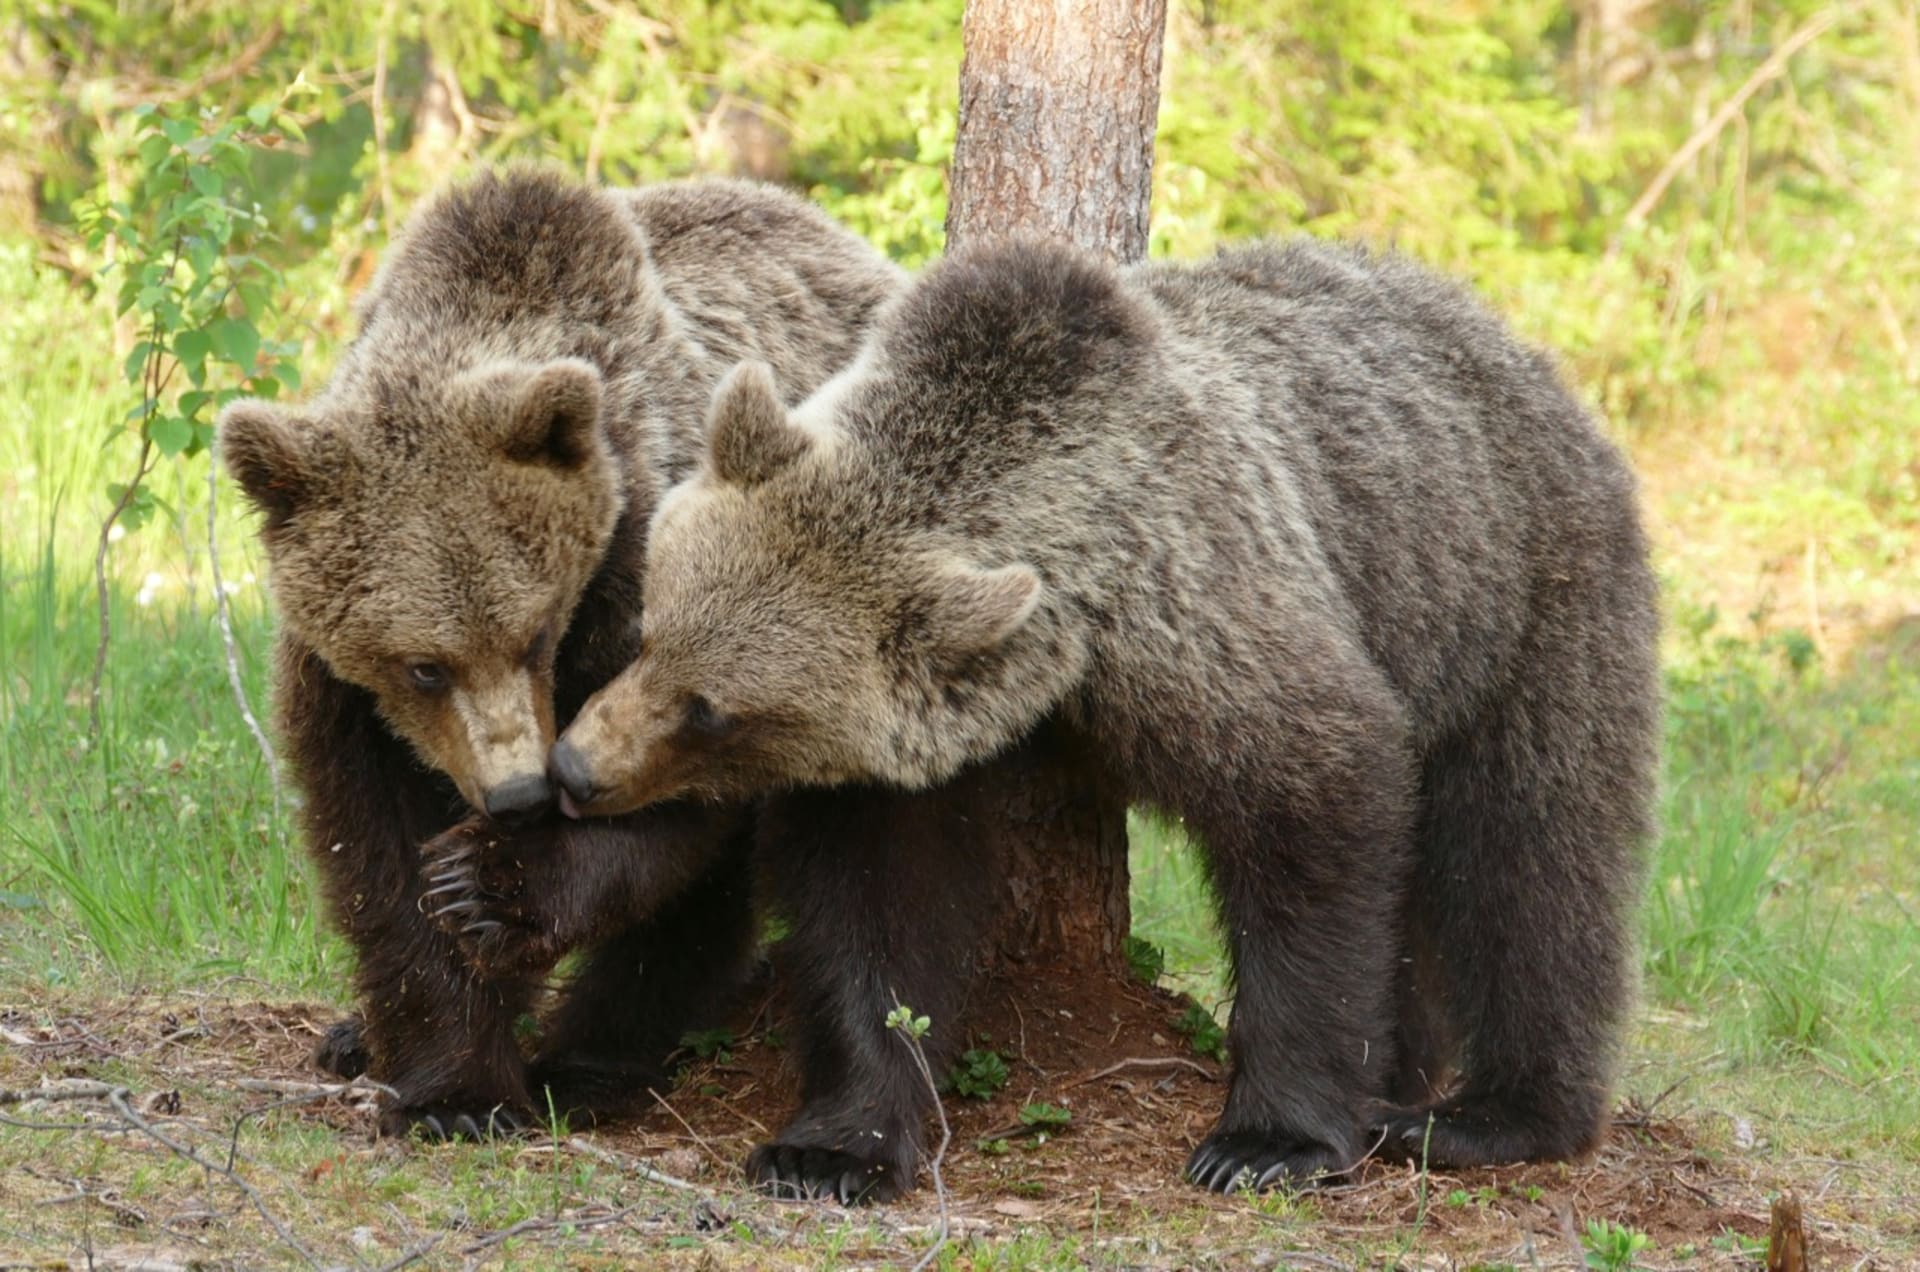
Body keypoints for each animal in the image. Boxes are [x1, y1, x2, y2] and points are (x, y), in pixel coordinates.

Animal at [214, 167, 902, 1137]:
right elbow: (374, 845)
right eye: (424, 665)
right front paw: (452, 1085)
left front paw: (488, 888)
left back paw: (596, 1059)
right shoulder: (344, 693)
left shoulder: (652, 581)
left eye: (536, 632)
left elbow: (663, 795)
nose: (519, 794)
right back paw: (361, 1037)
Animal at [549, 236, 1658, 1198]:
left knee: (1532, 861)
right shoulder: (913, 748)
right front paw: (832, 1146)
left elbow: (1318, 810)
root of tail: (1518, 350)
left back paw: (1494, 1114)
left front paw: (1266, 1138)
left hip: (1515, 605)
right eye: (647, 628)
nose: (575, 771)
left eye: (714, 713)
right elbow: (877, 910)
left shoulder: (1199, 617)